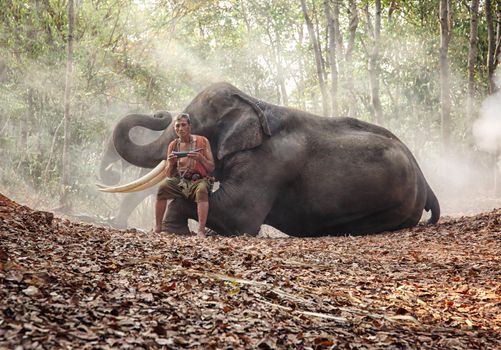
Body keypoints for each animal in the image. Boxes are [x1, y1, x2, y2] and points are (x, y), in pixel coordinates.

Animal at [100, 81, 438, 238]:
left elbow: (239, 215)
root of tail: (426, 183)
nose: (161, 113)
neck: (253, 101)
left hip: (394, 206)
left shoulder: (269, 164)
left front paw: (175, 230)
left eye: (191, 123)